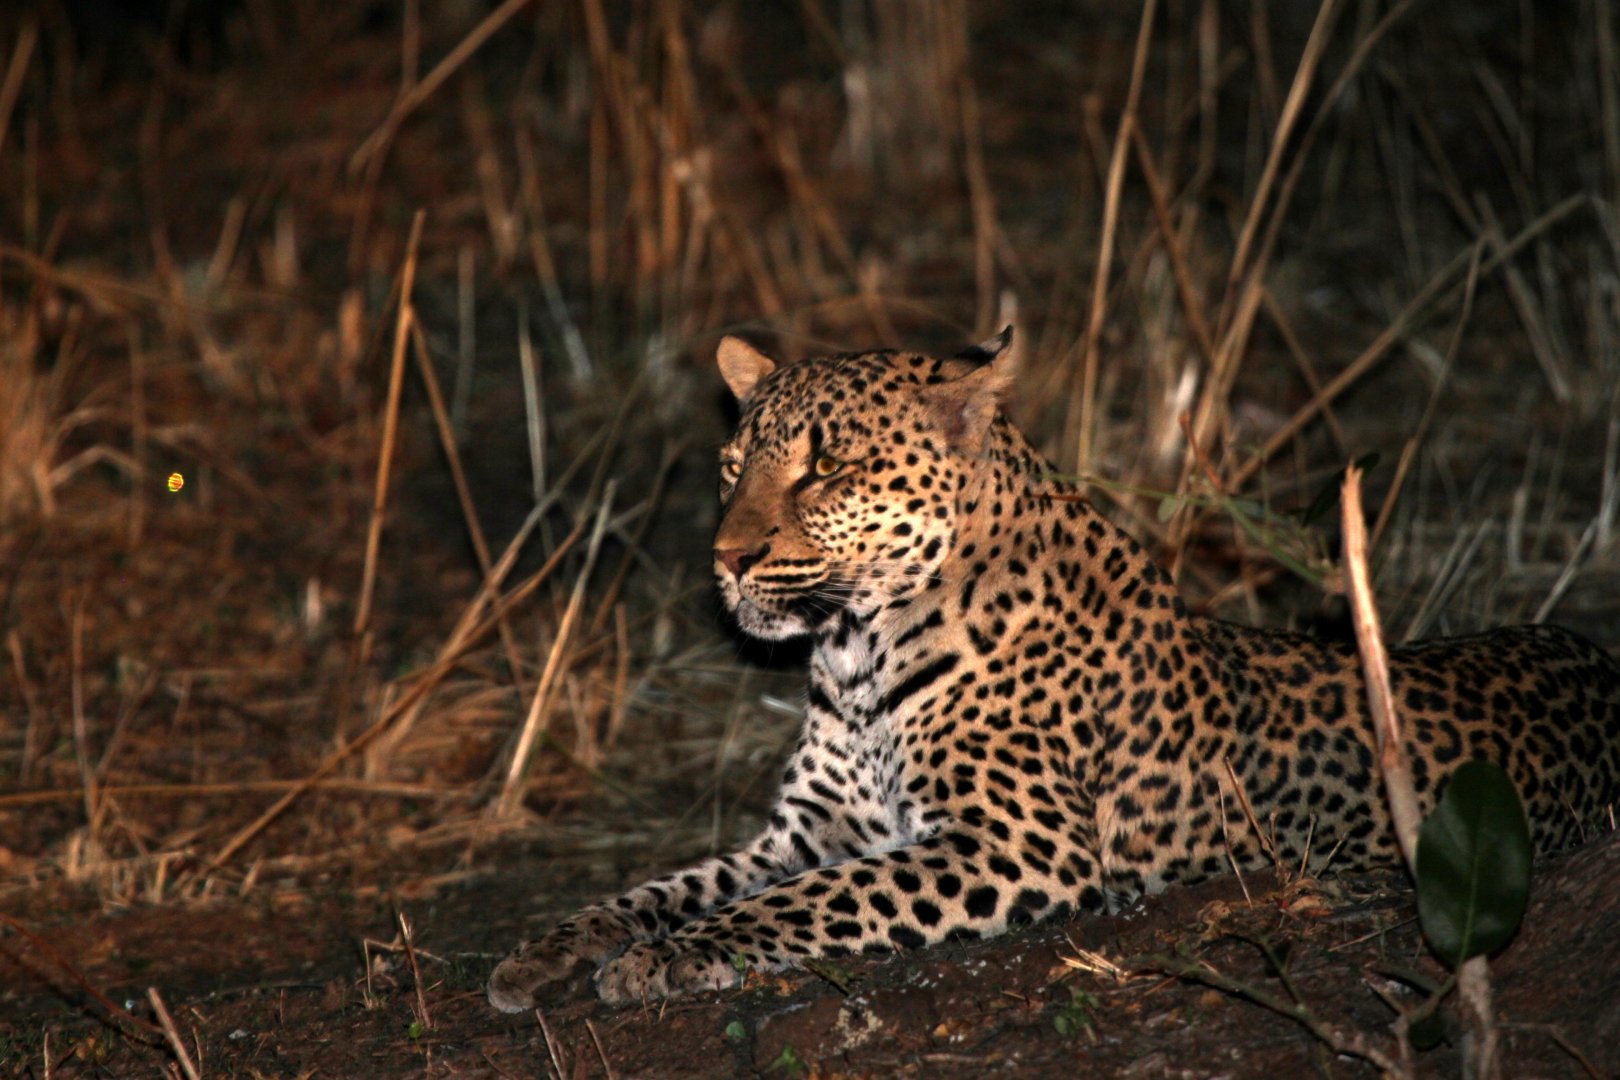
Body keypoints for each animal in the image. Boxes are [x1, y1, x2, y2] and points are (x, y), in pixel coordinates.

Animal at [488, 328, 1620, 1011]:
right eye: (733, 469)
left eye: (825, 469)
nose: (724, 561)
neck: (853, 659)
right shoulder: (812, 829)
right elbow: (673, 884)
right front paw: (546, 951)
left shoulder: (1017, 846)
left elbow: (802, 904)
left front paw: (662, 960)